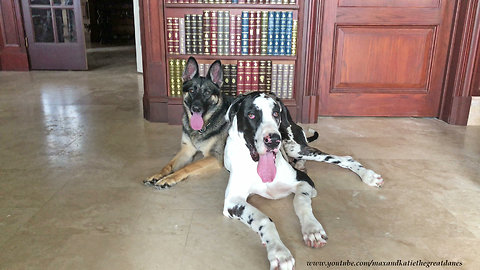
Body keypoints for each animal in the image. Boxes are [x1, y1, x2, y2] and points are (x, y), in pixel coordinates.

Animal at [142, 56, 232, 188]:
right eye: (191, 91)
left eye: (207, 93)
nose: (196, 108)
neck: (204, 126)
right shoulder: (186, 150)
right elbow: (168, 165)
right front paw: (157, 175)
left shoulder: (214, 157)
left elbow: (188, 167)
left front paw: (169, 178)